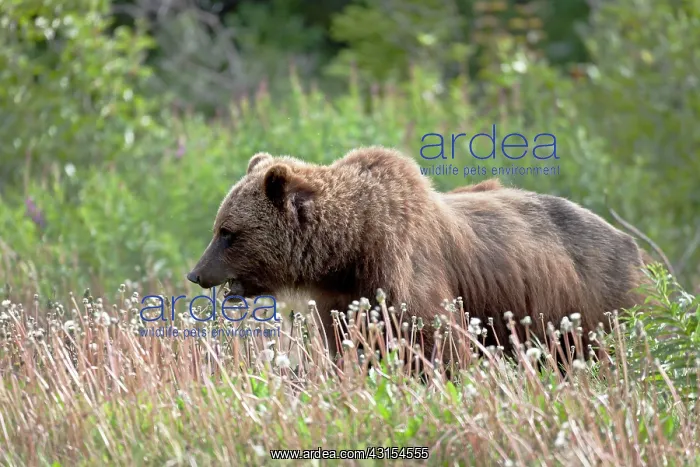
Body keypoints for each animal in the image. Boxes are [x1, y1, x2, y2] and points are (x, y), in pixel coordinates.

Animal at [187, 146, 649, 360]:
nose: (197, 273)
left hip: (594, 299)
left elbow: (435, 341)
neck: (348, 250)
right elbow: (348, 344)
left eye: (228, 233)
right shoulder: (341, 298)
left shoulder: (404, 270)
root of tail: (637, 248)